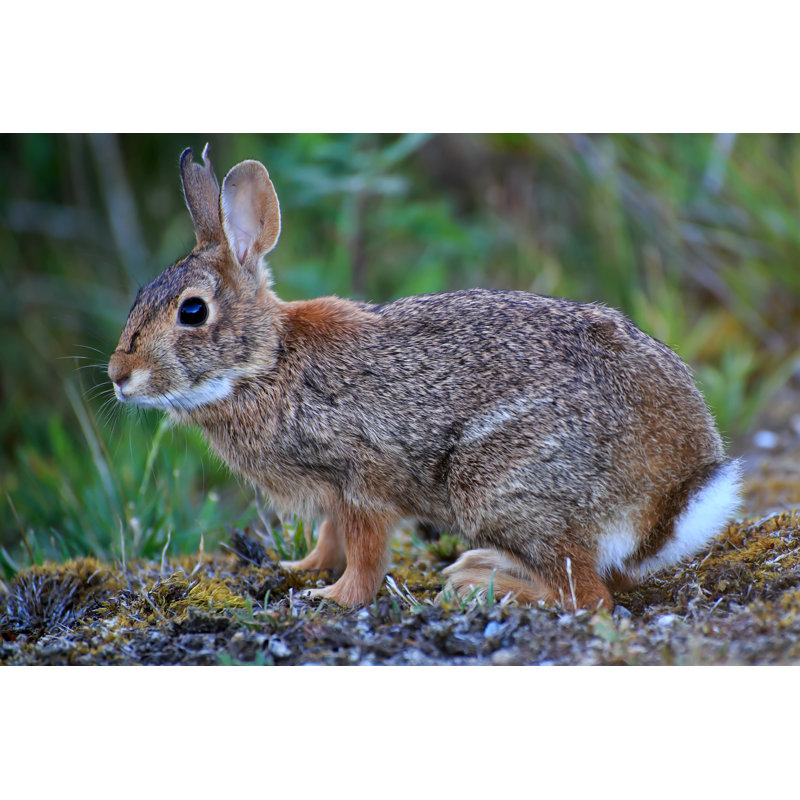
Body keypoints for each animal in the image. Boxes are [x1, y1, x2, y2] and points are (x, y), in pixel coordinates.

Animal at [108, 143, 742, 610]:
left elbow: (366, 552)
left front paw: (333, 597)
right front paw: (302, 568)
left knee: (589, 596)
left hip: (498, 487)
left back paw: (481, 584)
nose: (119, 375)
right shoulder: (334, 494)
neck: (266, 363)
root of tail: (671, 497)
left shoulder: (363, 480)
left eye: (193, 311)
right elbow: (331, 537)